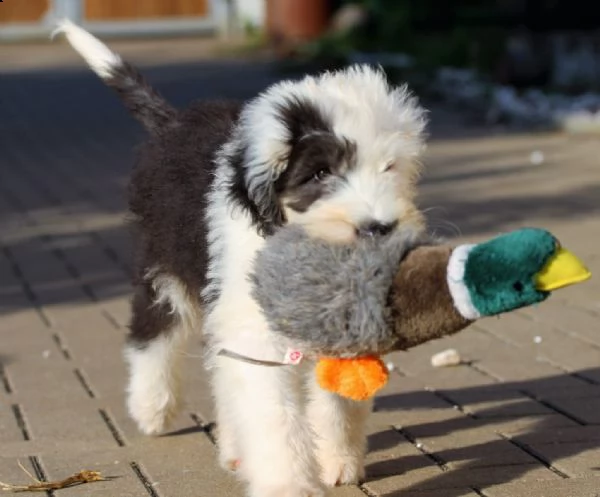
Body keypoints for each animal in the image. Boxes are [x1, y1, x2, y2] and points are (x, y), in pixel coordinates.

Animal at [56, 20, 426, 496]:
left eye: (389, 168)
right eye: (320, 173)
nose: (379, 227)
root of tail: (174, 123)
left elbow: (337, 394)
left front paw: (337, 460)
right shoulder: (254, 329)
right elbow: (274, 416)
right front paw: (289, 485)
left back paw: (233, 446)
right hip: (167, 264)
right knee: (153, 332)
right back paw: (152, 407)